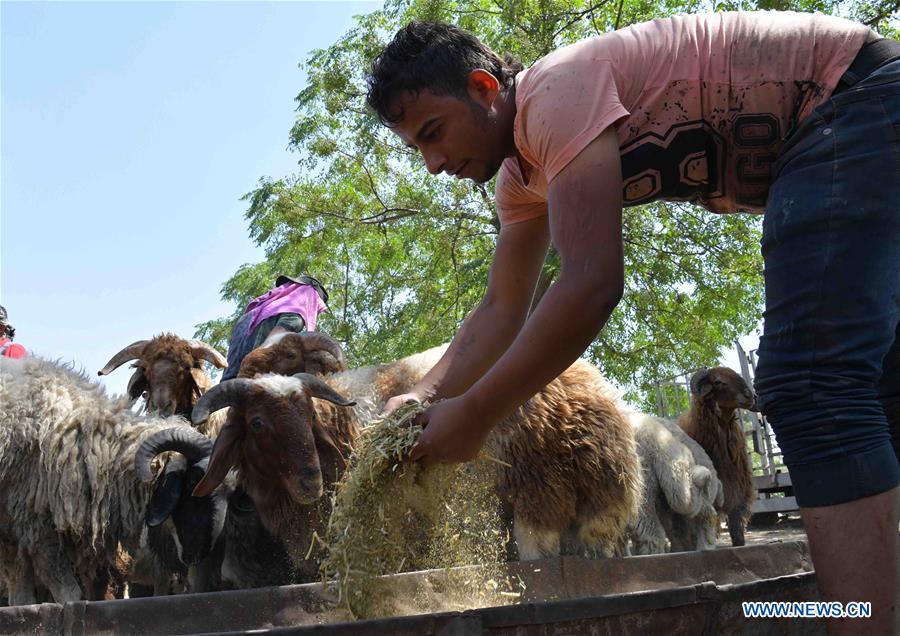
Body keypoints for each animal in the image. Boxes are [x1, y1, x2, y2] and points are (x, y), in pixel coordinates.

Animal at [0, 358, 229, 600]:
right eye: (194, 483)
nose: (199, 555)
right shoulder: (33, 519)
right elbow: (63, 586)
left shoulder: (12, 530)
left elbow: (21, 591)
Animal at [192, 336, 640, 564]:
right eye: (256, 422)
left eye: (306, 412)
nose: (310, 480)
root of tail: (596, 385)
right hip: (589, 503)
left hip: (542, 490)